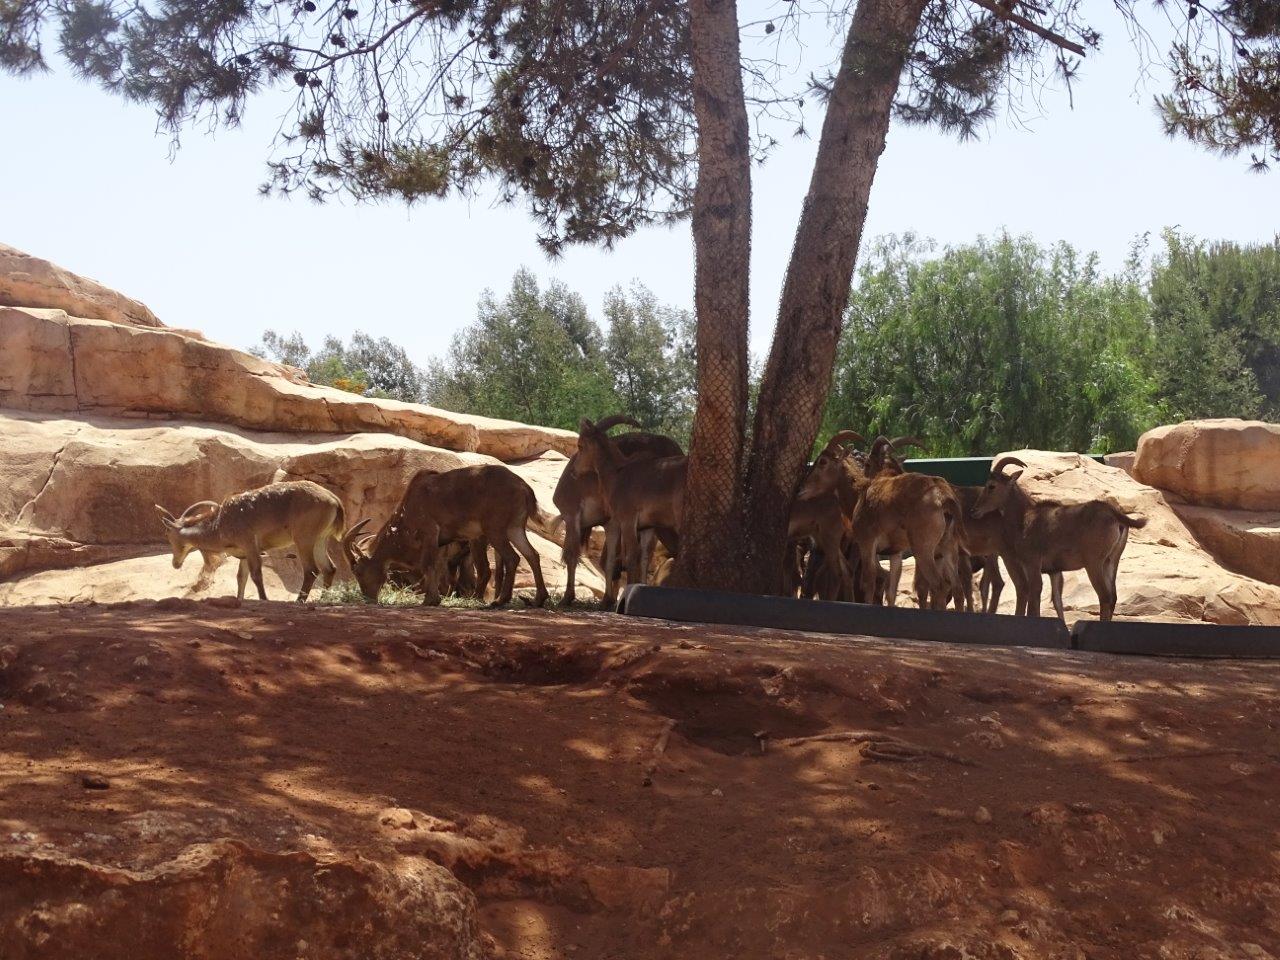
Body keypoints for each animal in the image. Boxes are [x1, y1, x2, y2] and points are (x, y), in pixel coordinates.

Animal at [154, 480, 344, 601]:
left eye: (167, 533)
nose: (175, 563)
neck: (220, 525)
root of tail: (334, 500)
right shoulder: (244, 553)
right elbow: (241, 577)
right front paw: (239, 600)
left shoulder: (250, 545)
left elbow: (256, 575)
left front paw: (264, 599)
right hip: (320, 539)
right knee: (330, 568)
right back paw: (324, 600)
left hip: (304, 538)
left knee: (311, 570)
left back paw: (299, 601)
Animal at [343, 464, 547, 607]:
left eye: (358, 571)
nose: (368, 598)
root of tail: (524, 488)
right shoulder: (440, 543)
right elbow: (436, 567)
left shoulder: (430, 533)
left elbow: (428, 564)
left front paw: (430, 600)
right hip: (515, 528)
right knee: (532, 555)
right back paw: (538, 599)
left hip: (495, 530)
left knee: (512, 558)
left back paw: (499, 601)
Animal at [552, 414, 682, 606]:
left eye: (580, 445)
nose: (574, 472)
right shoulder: (615, 523)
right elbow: (612, 561)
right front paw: (608, 599)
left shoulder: (572, 515)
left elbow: (572, 555)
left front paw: (568, 597)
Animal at [970, 456, 1147, 621]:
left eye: (991, 486)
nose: (974, 510)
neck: (1024, 518)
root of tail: (1115, 515)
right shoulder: (1053, 571)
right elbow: (1056, 601)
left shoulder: (1032, 563)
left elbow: (1034, 595)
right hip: (1112, 561)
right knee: (1113, 597)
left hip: (1095, 563)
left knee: (1105, 596)